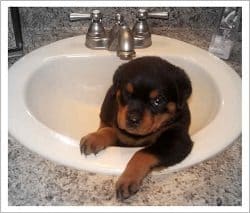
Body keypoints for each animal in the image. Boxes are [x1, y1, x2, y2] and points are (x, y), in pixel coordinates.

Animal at [80, 55, 193, 201]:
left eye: (158, 100)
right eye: (127, 93)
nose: (133, 120)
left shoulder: (178, 140)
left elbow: (142, 153)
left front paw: (128, 179)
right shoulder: (120, 125)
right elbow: (111, 130)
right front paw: (95, 138)